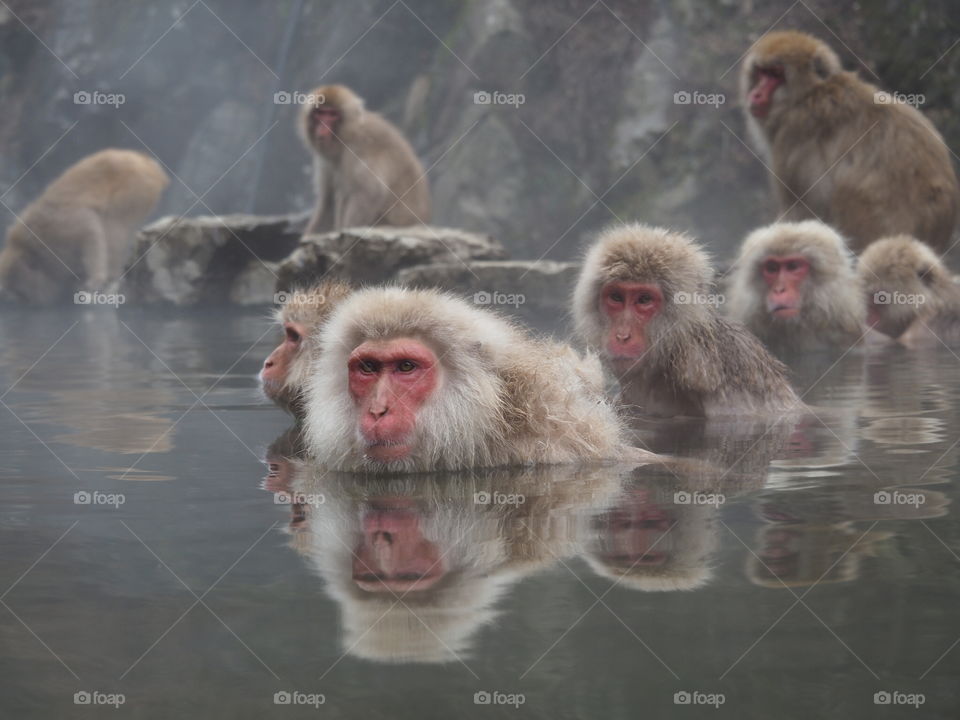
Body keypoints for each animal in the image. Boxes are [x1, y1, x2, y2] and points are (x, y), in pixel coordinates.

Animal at [0, 149, 168, 305]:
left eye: (18, 291)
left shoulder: (60, 228)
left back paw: (110, 278)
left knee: (113, 223)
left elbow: (90, 229)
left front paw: (95, 280)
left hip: (136, 188)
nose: (18, 300)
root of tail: (148, 164)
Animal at [299, 84, 431, 235]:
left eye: (332, 115)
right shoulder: (325, 160)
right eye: (320, 113)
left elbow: (371, 192)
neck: (348, 134)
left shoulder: (358, 148)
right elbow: (328, 202)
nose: (322, 128)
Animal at [741, 31, 959, 253]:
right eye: (762, 72)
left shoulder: (793, 133)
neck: (810, 93)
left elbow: (803, 208)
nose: (756, 94)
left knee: (845, 192)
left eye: (776, 74)